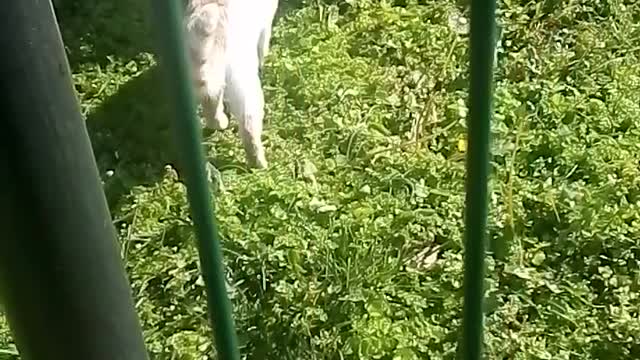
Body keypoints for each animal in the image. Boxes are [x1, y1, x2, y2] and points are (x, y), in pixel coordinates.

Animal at [182, 0, 278, 169]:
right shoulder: (267, 22)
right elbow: (263, 44)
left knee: (210, 103)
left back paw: (221, 123)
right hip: (244, 84)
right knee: (248, 125)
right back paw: (260, 166)